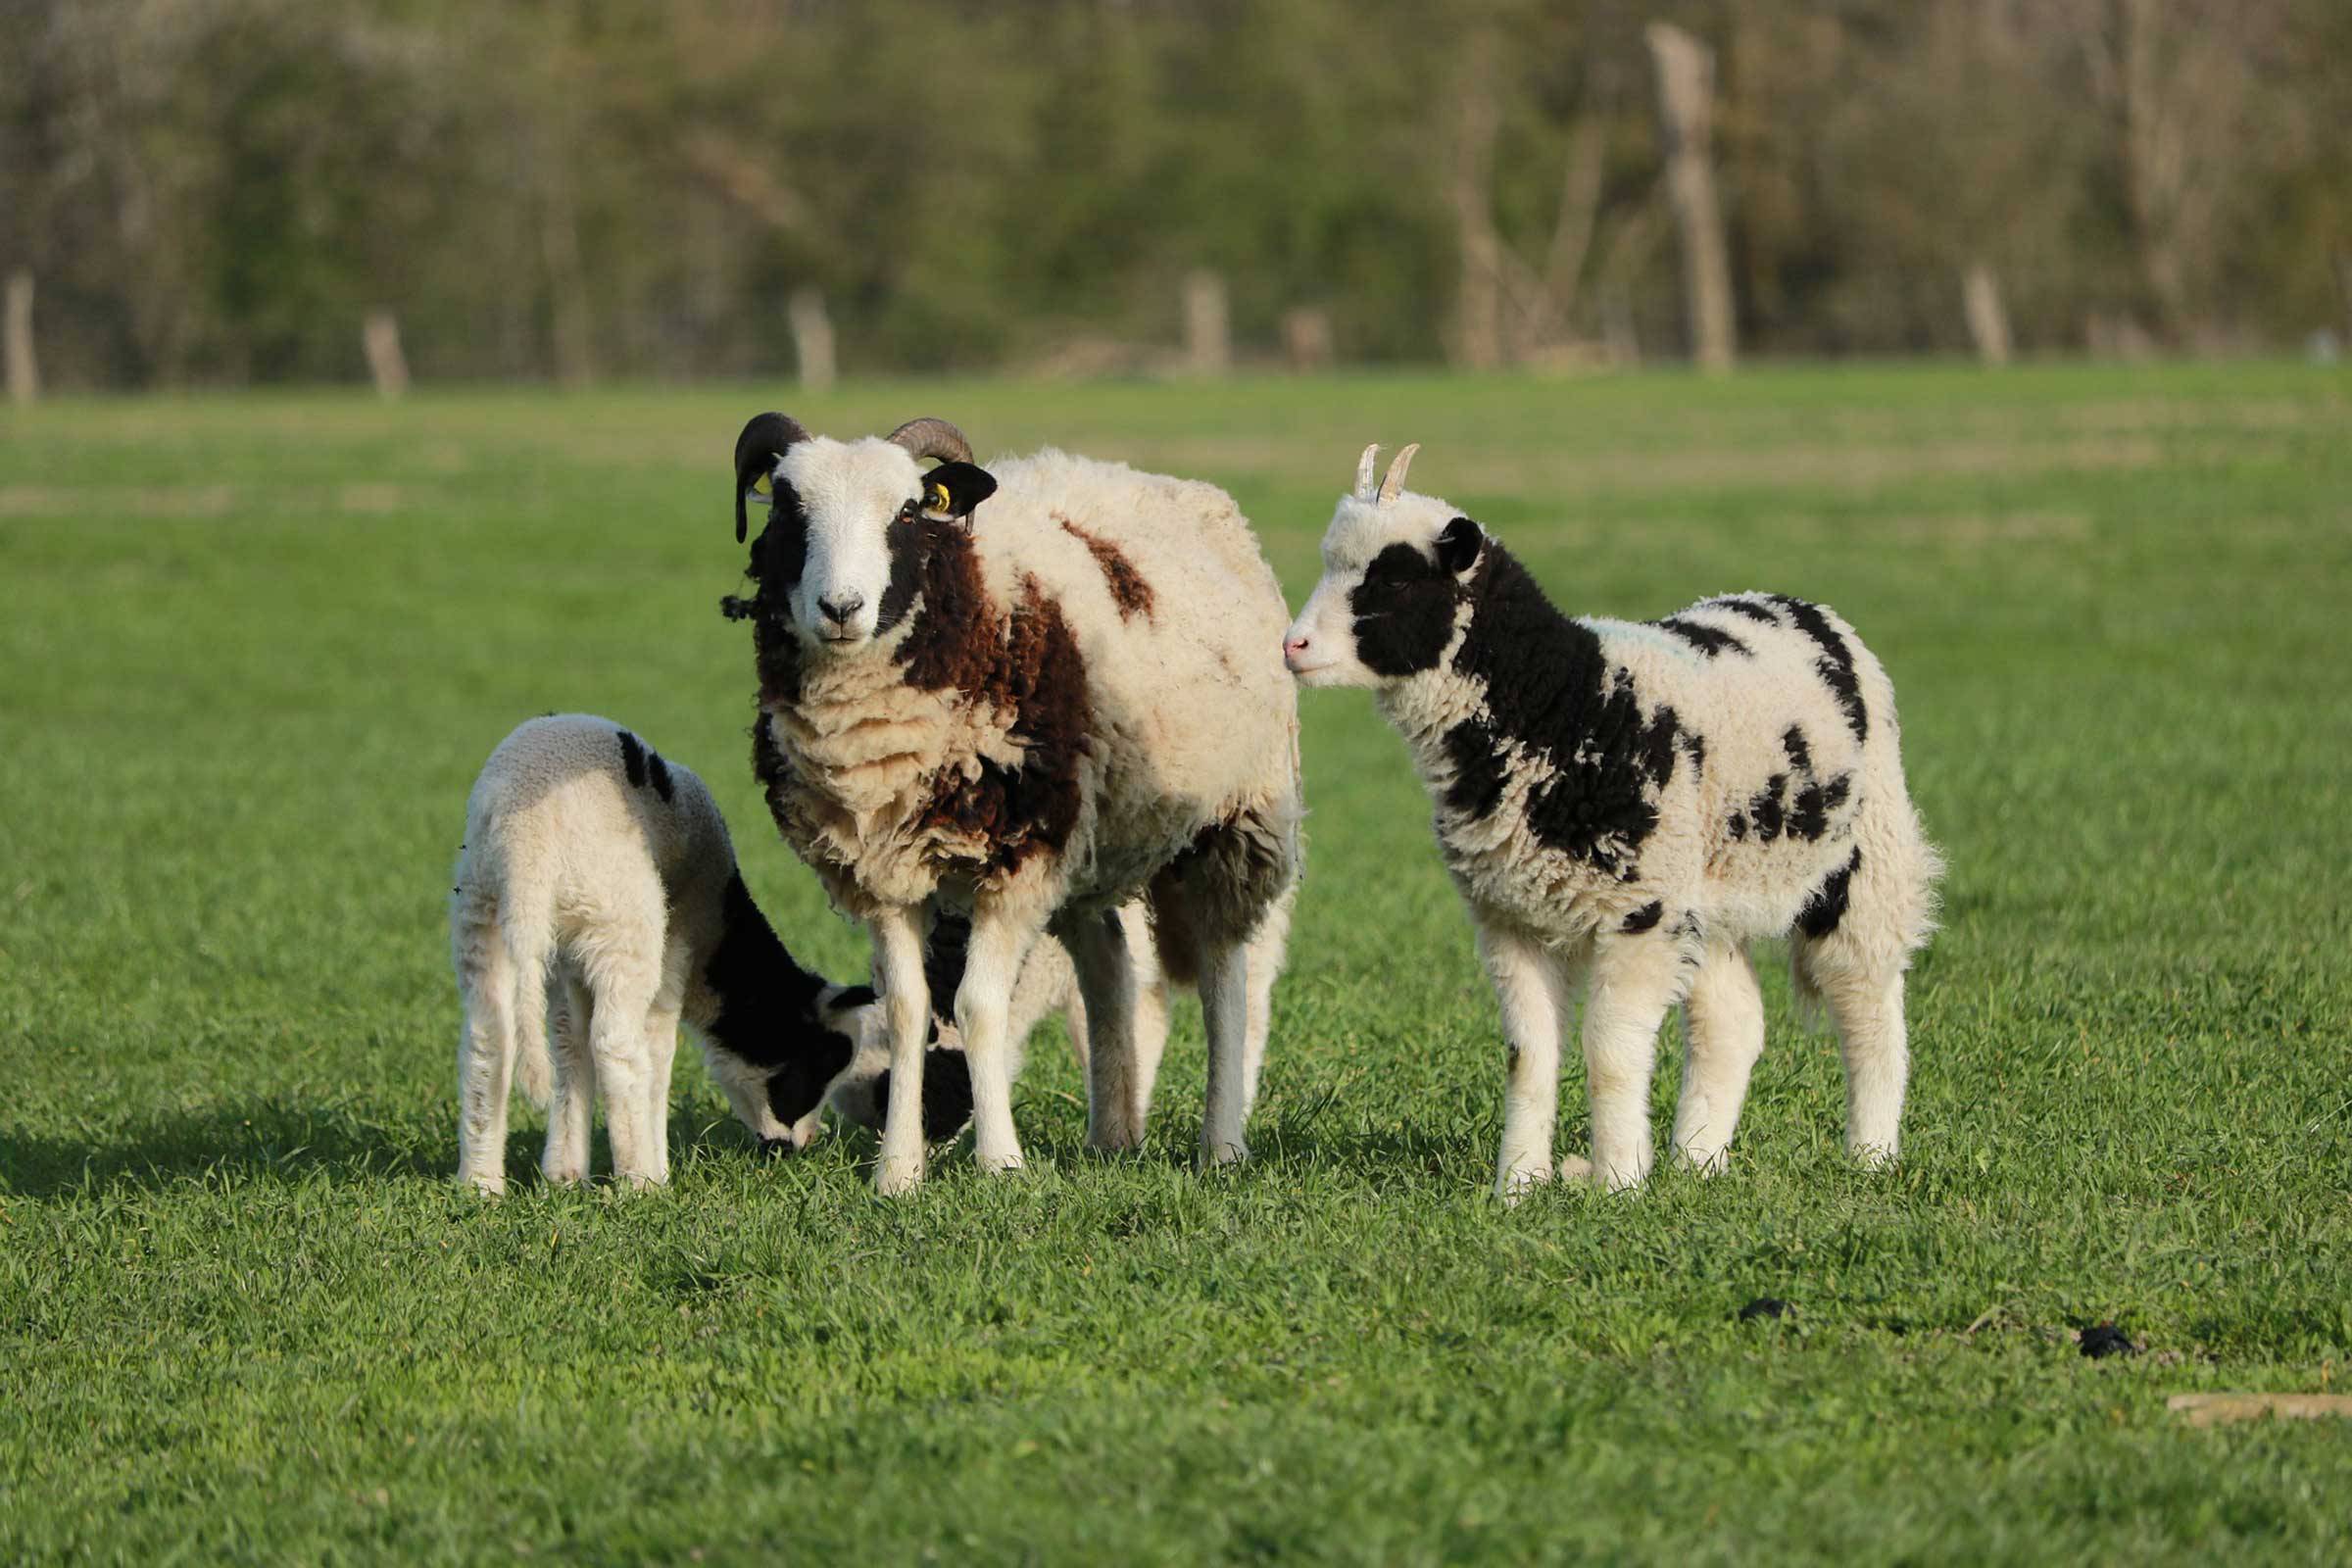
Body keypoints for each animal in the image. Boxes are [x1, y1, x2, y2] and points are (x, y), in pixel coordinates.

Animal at [450, 713, 874, 1193]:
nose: (799, 1147)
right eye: (817, 1064)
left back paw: (481, 1185)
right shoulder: (678, 940)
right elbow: (656, 1047)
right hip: (623, 917)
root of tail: (526, 846)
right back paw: (639, 1182)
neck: (718, 934)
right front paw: (657, 1168)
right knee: (616, 1044)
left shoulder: (567, 964)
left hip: (482, 910)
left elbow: (569, 1046)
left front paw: (564, 1176)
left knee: (489, 1037)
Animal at [723, 413, 1302, 1193]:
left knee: (1225, 977)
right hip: (1094, 846)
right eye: (785, 510)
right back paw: (1114, 1134)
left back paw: (1223, 1143)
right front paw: (897, 1173)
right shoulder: (884, 872)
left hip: (1235, 820)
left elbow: (976, 1004)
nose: (841, 609)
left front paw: (1000, 1161)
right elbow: (908, 1008)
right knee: (1109, 967)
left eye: (909, 512)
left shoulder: (1018, 859)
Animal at [1282, 445, 1941, 1200]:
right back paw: (1696, 1162)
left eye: (1393, 578)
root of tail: (1804, 609)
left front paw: (1619, 1181)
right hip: (1706, 891)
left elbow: (1611, 1052)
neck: (1564, 702)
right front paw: (1519, 1186)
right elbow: (1530, 1054)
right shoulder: (1513, 916)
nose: (1292, 646)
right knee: (1732, 1022)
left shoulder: (1638, 912)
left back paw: (1870, 1155)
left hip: (1868, 856)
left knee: (1868, 1003)